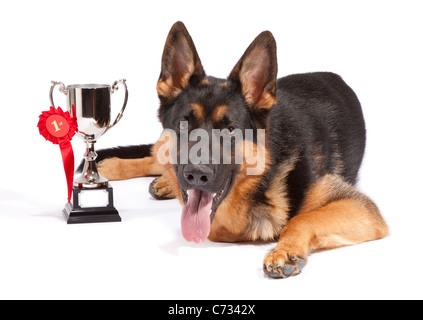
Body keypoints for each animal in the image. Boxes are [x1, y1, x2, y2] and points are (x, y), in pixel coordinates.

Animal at [93, 21, 390, 278]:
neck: (266, 173)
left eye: (230, 130)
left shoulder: (360, 208)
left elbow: (299, 219)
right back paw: (117, 167)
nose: (196, 175)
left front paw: (284, 250)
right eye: (183, 125)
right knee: (155, 153)